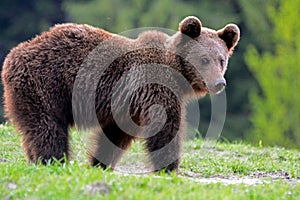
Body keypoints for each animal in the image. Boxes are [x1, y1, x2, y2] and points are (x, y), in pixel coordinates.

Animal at [0, 16, 239, 172]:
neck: (177, 73)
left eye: (222, 59)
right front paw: (169, 169)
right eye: (204, 59)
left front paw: (99, 163)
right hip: (44, 85)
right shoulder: (155, 87)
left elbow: (114, 136)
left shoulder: (127, 107)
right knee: (47, 128)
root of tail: (14, 54)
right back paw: (52, 161)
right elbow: (165, 128)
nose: (219, 83)